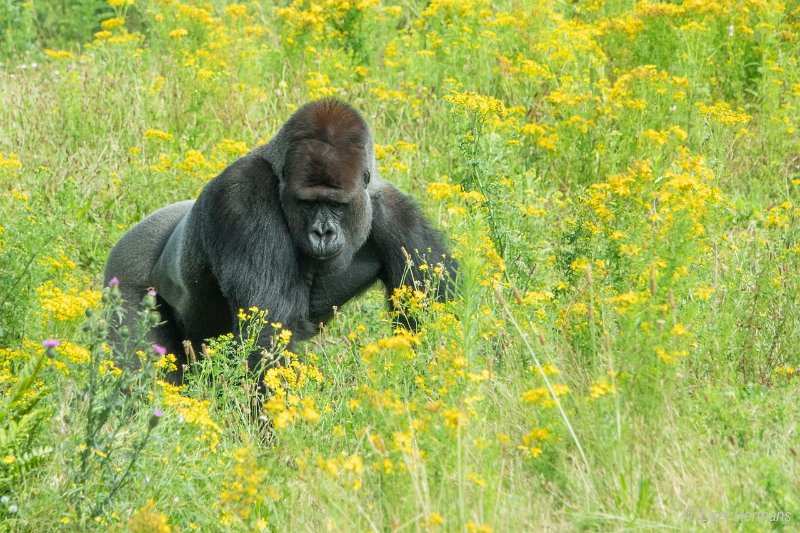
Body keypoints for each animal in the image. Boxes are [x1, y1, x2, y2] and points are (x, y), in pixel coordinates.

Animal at [104, 100, 456, 380]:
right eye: (309, 203)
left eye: (336, 204)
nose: (323, 232)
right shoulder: (243, 192)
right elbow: (267, 332)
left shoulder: (398, 215)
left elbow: (436, 315)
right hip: (124, 273)